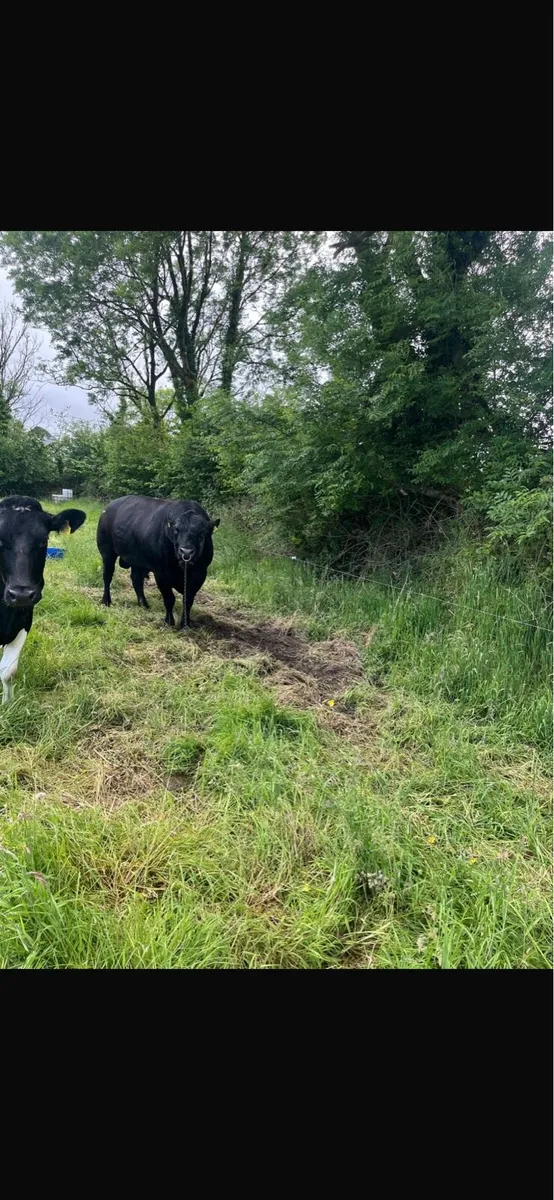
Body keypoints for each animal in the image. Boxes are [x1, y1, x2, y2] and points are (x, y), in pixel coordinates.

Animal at [96, 495, 220, 629]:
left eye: (202, 533)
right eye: (176, 530)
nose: (186, 551)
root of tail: (109, 506)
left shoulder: (200, 575)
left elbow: (188, 600)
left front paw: (185, 624)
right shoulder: (161, 574)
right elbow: (169, 599)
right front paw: (169, 621)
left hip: (137, 561)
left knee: (136, 580)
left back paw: (143, 604)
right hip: (107, 552)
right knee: (107, 576)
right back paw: (106, 601)